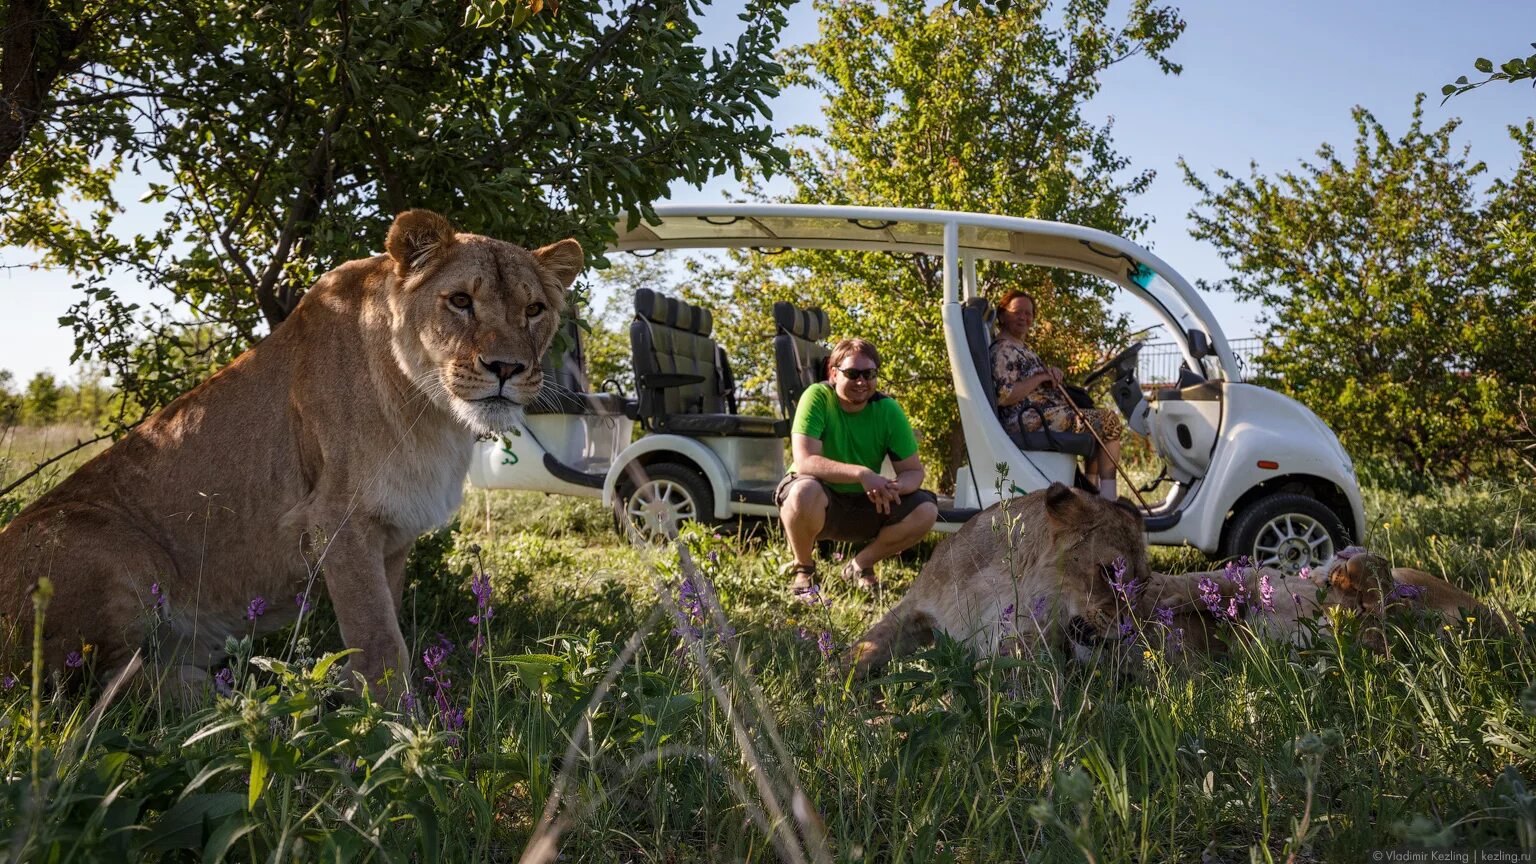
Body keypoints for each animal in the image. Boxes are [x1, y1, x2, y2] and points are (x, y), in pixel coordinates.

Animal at [0, 209, 580, 691]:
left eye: (534, 310)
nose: (507, 368)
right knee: (105, 689)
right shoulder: (337, 520)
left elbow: (387, 625)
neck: (432, 412)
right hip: (118, 551)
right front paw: (401, 734)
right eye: (460, 300)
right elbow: (381, 643)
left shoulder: (393, 536)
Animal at [854, 479, 1155, 676]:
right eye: (1109, 572)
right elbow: (864, 647)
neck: (990, 585)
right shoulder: (913, 607)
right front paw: (841, 690)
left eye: (1143, 584)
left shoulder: (1023, 642)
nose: (1132, 631)